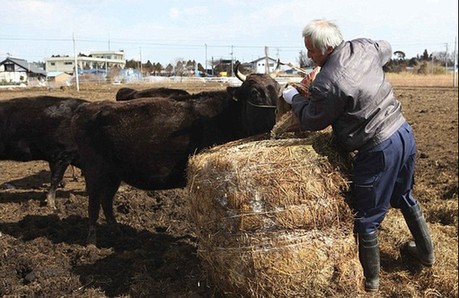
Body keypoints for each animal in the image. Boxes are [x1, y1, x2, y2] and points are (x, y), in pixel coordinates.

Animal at [72, 63, 280, 244]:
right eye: (255, 92)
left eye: (278, 89)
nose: (277, 114)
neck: (226, 116)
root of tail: (85, 109)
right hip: (94, 171)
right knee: (93, 204)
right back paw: (91, 243)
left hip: (113, 174)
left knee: (106, 201)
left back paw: (120, 234)